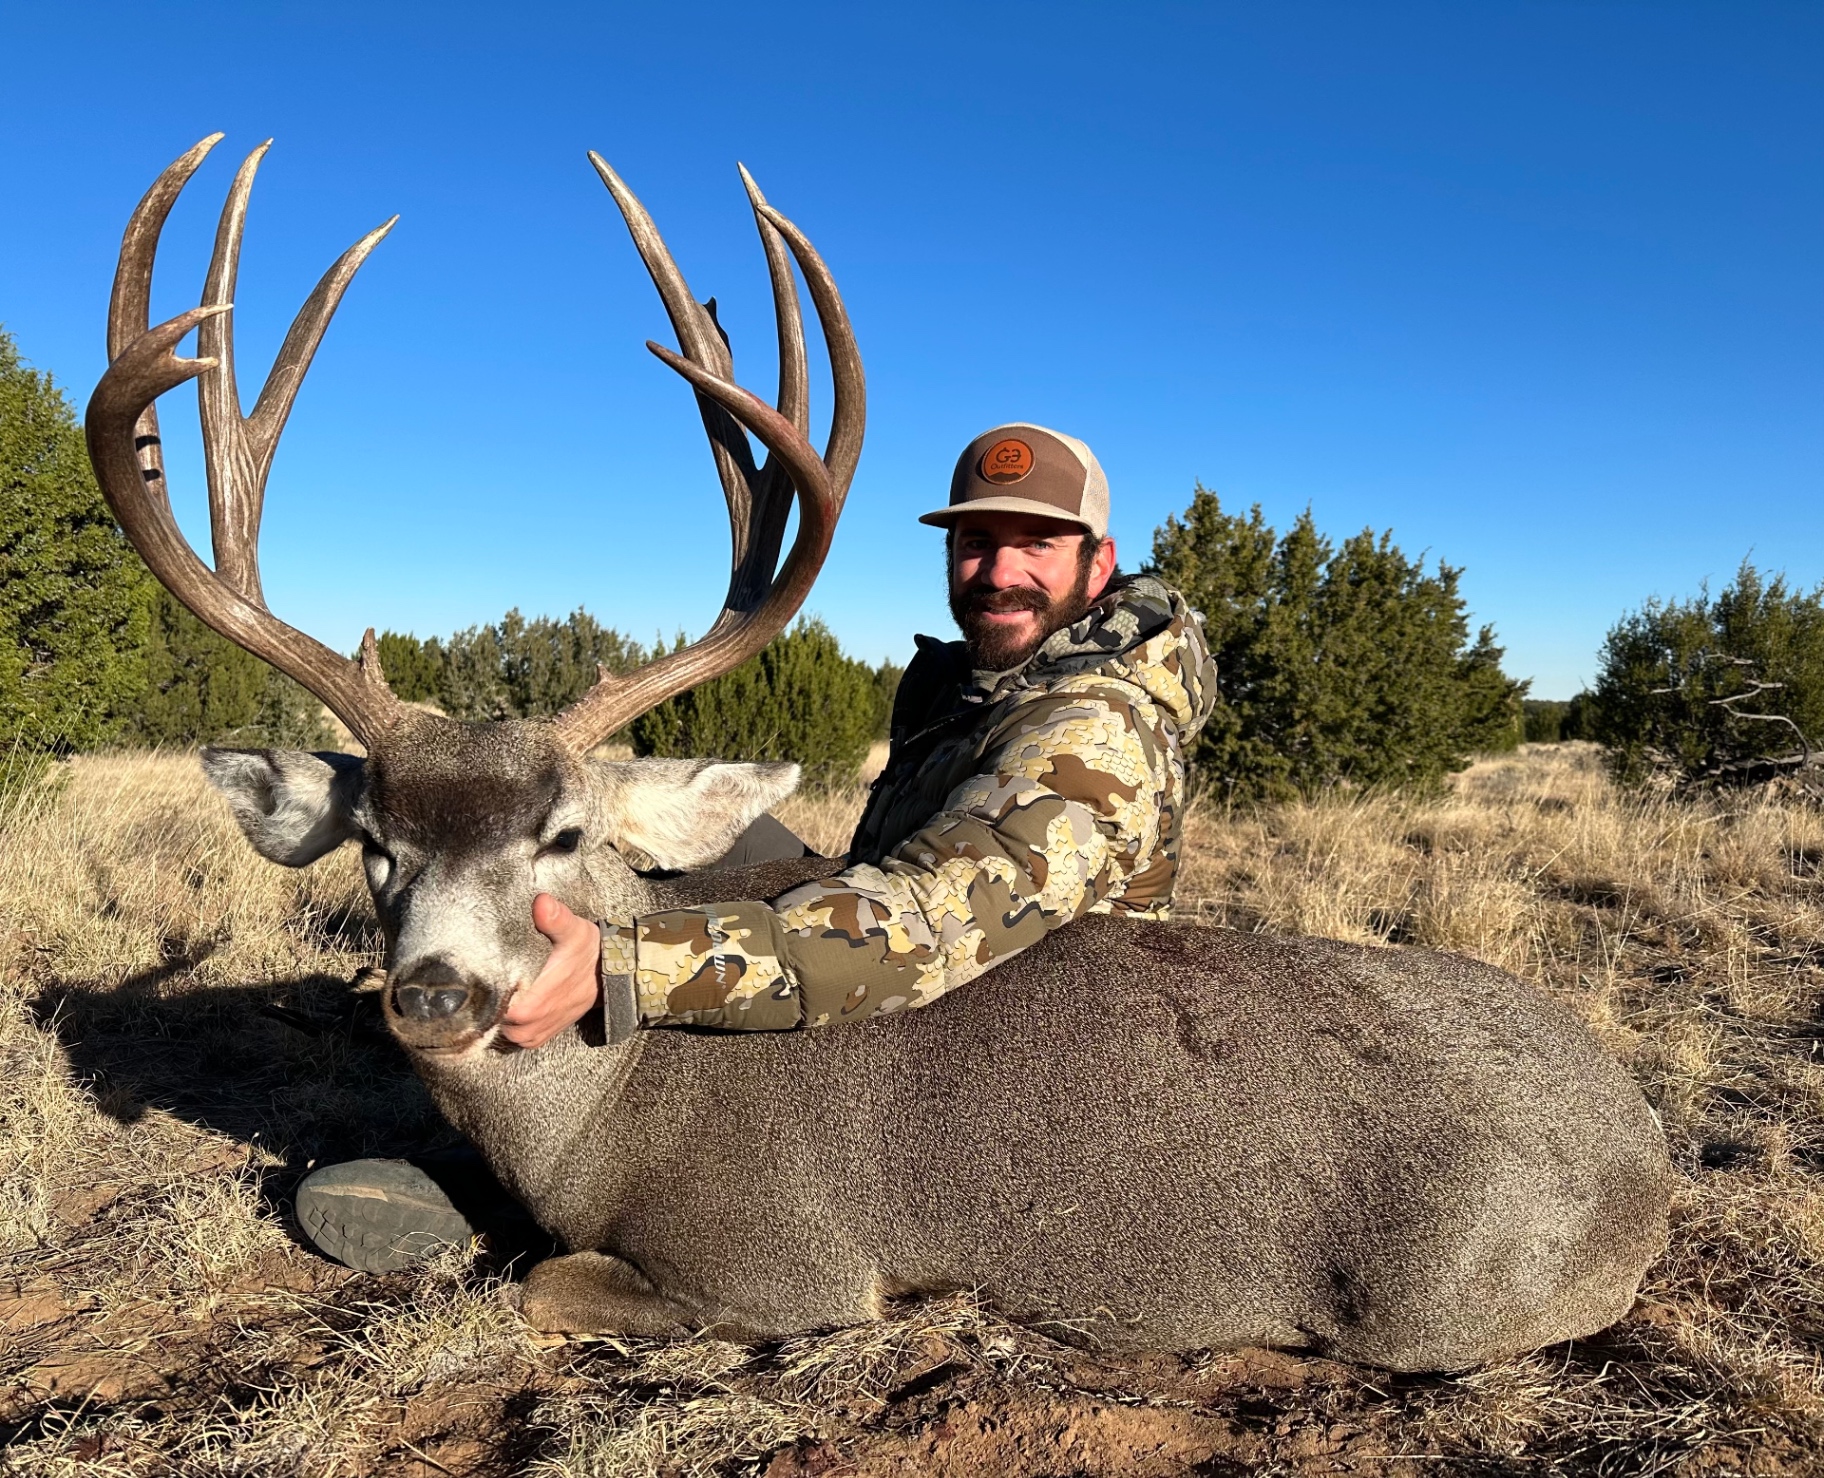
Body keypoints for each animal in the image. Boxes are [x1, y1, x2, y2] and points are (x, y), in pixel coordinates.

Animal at [86, 135, 1673, 1372]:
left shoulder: (781, 1256)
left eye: (563, 835)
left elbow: (539, 1280)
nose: (432, 992)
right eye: (376, 844)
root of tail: (1646, 1150)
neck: (609, 1114)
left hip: (1443, 1293)